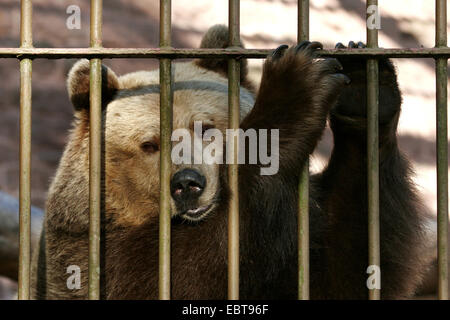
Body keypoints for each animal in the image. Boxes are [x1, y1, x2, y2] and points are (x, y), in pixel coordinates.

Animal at [29, 25, 430, 300]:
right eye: (149, 144)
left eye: (207, 128)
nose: (187, 183)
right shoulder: (91, 253)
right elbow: (199, 269)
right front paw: (294, 81)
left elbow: (347, 268)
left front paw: (363, 86)